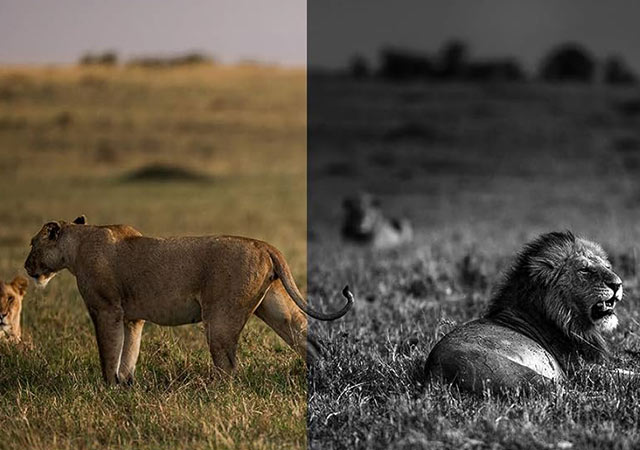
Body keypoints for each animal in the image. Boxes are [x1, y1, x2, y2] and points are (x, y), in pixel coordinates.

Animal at [23, 216, 356, 384]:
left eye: (32, 244)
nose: (26, 267)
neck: (78, 245)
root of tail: (264, 245)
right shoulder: (133, 317)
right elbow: (128, 353)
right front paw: (126, 385)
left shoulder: (105, 309)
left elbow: (109, 352)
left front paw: (107, 388)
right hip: (275, 308)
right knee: (309, 341)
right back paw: (318, 378)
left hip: (220, 319)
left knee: (229, 367)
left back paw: (213, 394)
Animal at [424, 232, 624, 394]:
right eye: (584, 269)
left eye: (607, 267)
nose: (618, 284)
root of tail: (434, 369)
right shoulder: (584, 368)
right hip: (525, 374)